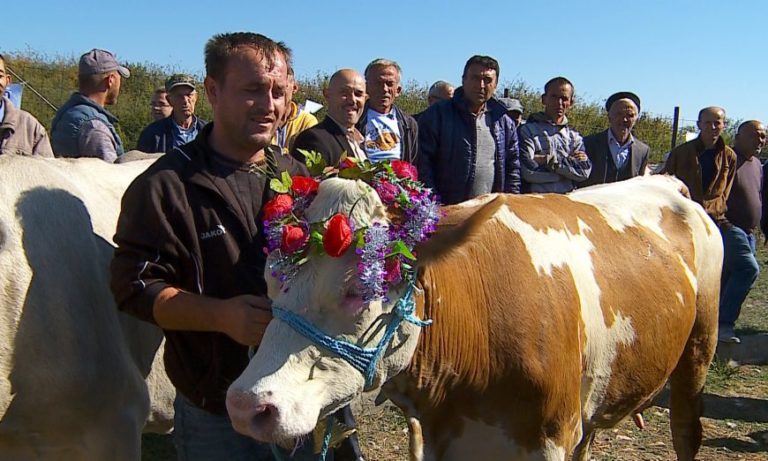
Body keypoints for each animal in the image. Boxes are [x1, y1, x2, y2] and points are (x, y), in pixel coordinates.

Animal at [225, 155, 724, 460]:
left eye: (357, 289)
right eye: (270, 278)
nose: (246, 405)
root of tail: (664, 179)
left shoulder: (549, 438)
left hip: (699, 349)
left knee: (687, 430)